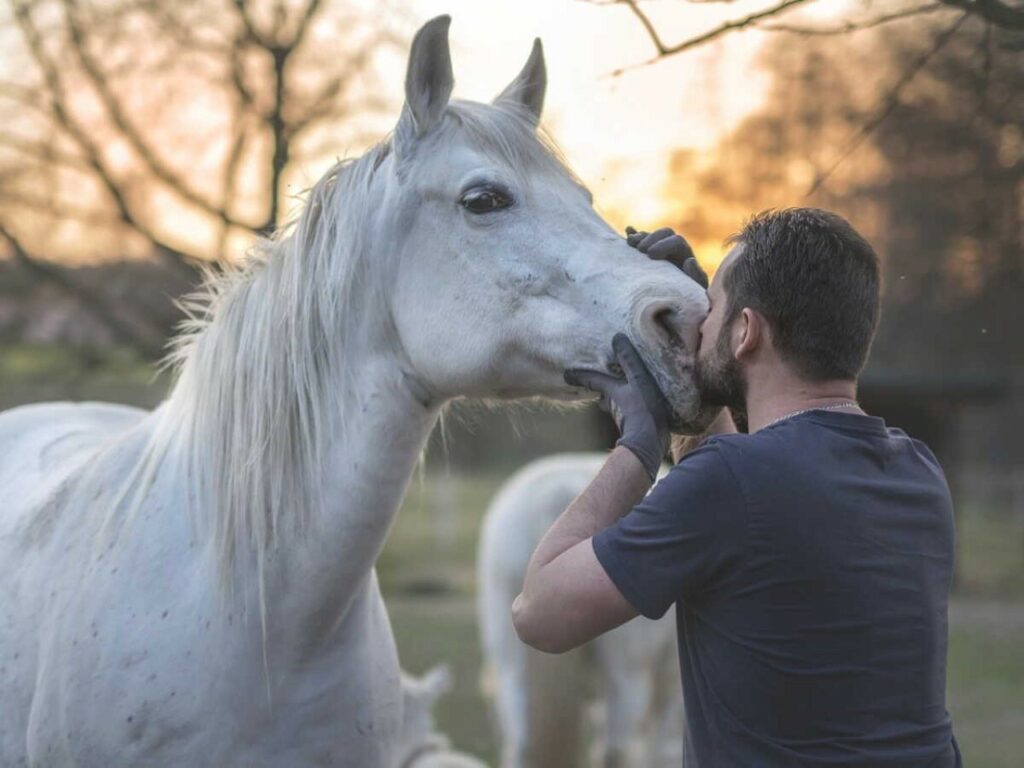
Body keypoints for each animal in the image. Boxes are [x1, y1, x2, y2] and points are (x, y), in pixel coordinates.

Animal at [478, 455, 684, 768]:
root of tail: (555, 495)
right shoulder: (669, 686)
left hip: (512, 670)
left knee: (522, 745)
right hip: (627, 676)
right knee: (615, 749)